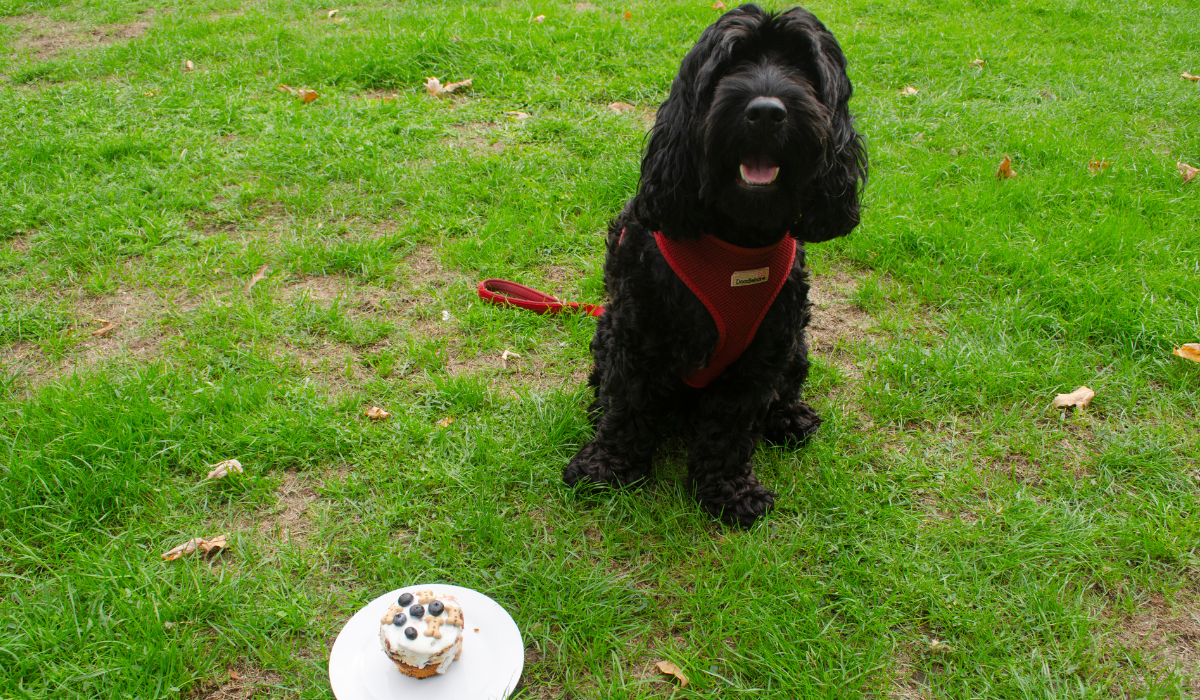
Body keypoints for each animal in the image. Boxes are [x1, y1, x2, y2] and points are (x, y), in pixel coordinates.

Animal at [561, 1, 864, 525]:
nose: (766, 113)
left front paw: (728, 492)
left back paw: (790, 417)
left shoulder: (760, 353)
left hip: (796, 347)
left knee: (784, 392)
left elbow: (732, 427)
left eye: (803, 69)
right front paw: (607, 468)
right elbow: (627, 404)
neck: (734, 242)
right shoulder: (636, 332)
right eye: (731, 63)